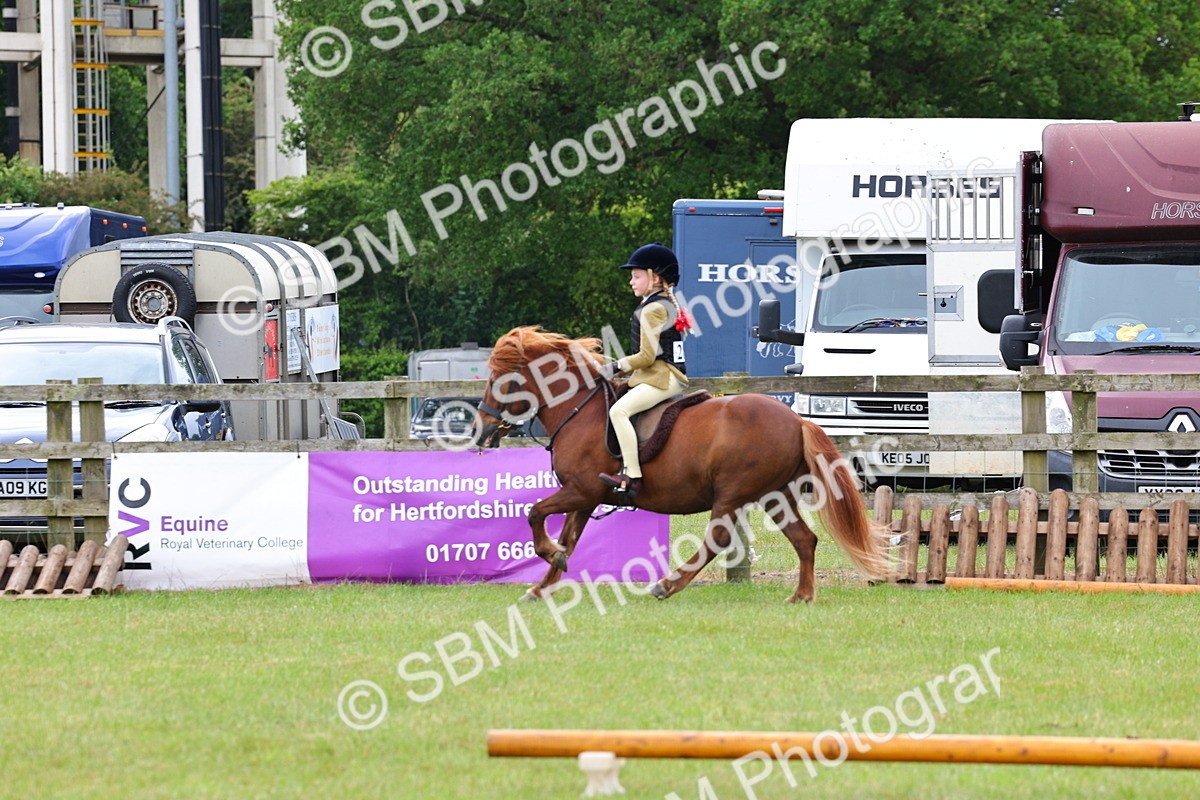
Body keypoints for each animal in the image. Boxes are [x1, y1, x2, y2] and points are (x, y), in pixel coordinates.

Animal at [471, 326, 894, 603]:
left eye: (498, 380)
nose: (482, 429)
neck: (580, 411)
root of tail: (795, 419)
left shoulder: (581, 490)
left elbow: (534, 513)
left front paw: (546, 558)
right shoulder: (586, 497)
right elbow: (568, 540)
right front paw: (541, 586)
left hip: (732, 493)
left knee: (717, 539)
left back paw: (668, 585)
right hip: (775, 494)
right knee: (804, 539)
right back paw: (802, 596)